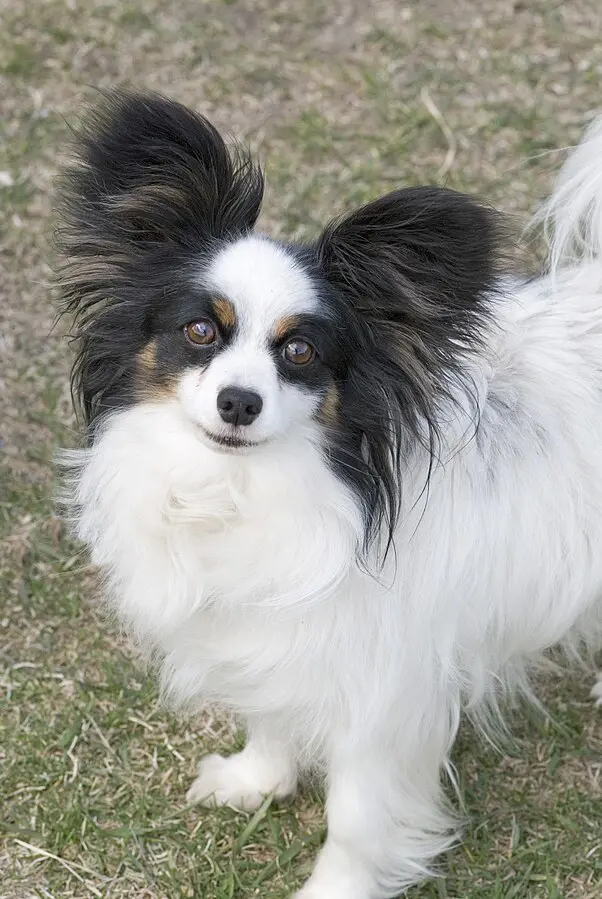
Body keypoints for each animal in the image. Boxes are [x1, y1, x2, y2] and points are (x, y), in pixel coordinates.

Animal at [56, 93, 600, 899]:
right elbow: (271, 713)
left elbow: (356, 816)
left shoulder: (387, 694)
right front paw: (255, 779)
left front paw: (336, 887)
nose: (239, 402)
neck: (242, 490)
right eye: (200, 330)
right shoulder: (275, 630)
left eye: (300, 350)